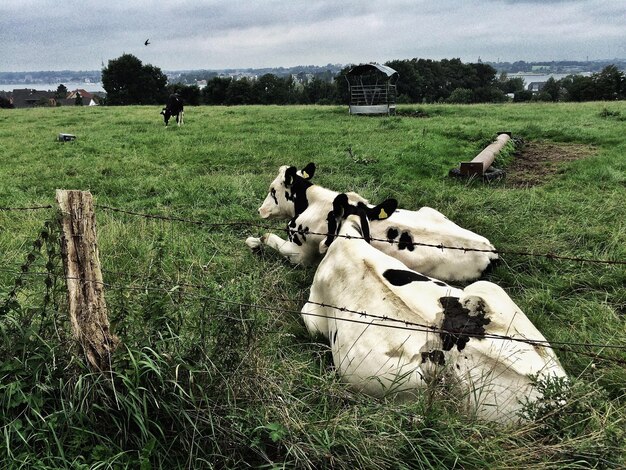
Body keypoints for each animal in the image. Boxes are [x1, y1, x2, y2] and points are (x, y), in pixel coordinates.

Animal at [244, 163, 498, 280]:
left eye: (273, 190)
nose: (259, 210)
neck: (312, 203)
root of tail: (491, 250)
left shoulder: (300, 255)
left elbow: (267, 236)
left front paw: (253, 242)